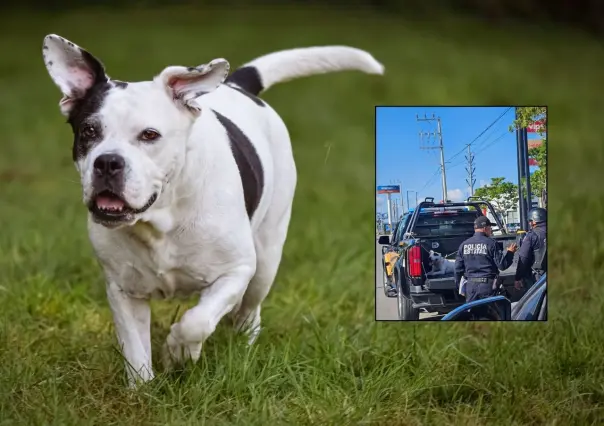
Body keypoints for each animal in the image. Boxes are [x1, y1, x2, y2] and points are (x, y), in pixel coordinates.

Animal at [42, 33, 384, 386]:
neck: (161, 219)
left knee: (249, 311)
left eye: (149, 135)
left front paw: (179, 352)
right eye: (89, 131)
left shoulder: (236, 270)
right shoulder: (124, 290)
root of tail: (236, 85)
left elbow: (197, 321)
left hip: (266, 260)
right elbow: (136, 352)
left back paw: (242, 346)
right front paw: (143, 389)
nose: (107, 162)